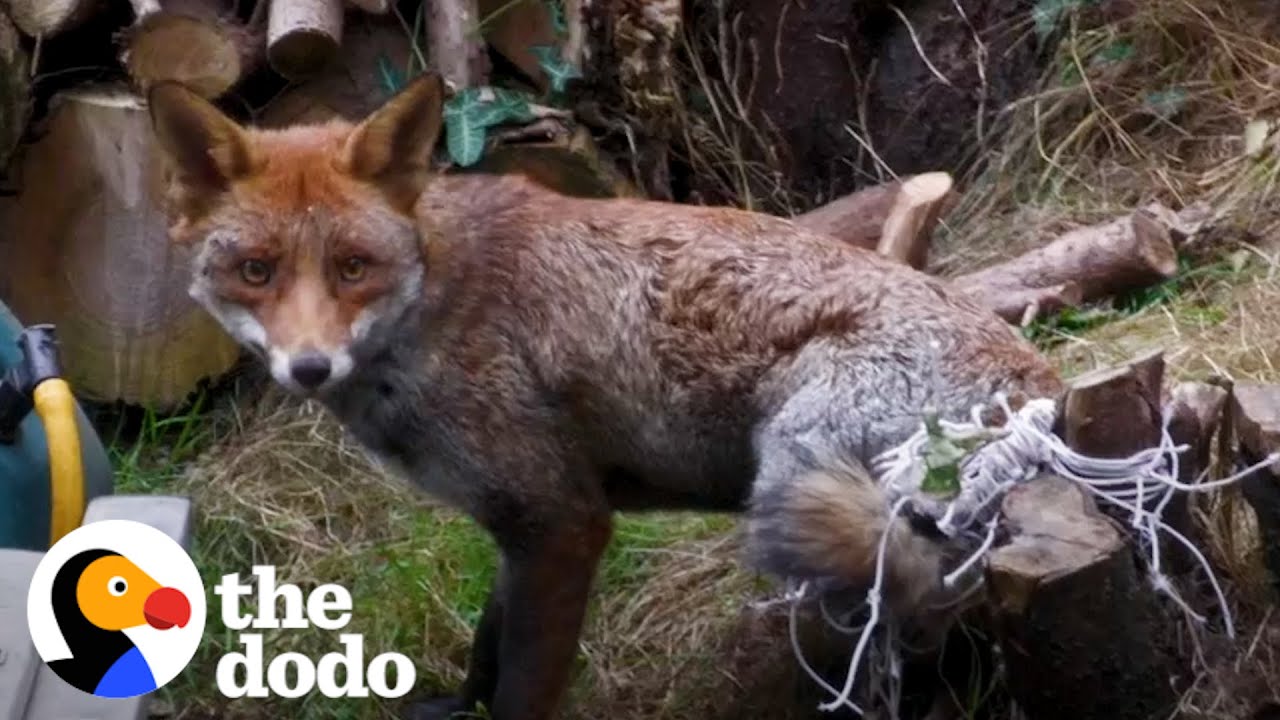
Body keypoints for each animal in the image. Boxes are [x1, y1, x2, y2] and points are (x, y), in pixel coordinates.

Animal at [149, 74, 1064, 717]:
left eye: (352, 267)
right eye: (256, 270)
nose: (308, 368)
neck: (432, 304)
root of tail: (1048, 396)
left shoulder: (562, 522)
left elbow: (524, 686)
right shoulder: (523, 519)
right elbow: (488, 647)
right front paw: (455, 706)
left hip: (800, 477)